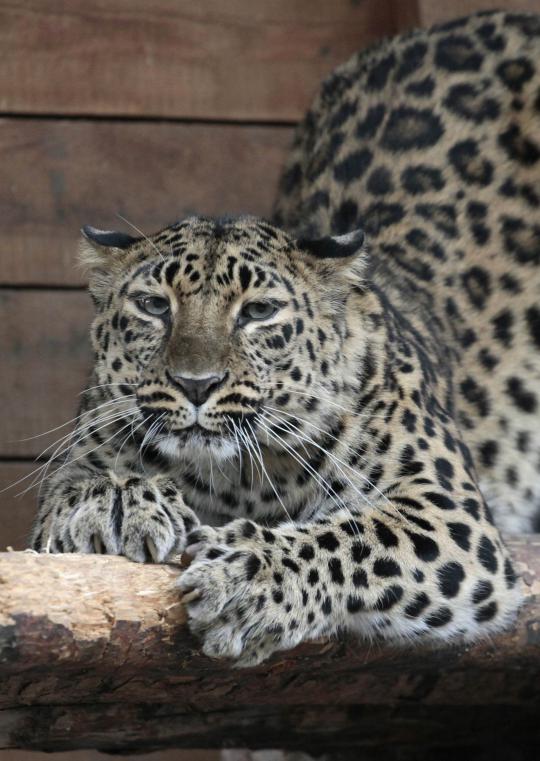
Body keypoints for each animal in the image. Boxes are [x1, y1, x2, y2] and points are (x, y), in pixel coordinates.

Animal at [31, 9, 540, 666]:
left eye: (258, 312)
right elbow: (74, 486)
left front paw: (250, 576)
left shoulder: (448, 512)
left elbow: (357, 536)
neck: (238, 482)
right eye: (153, 305)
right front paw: (117, 499)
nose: (197, 385)